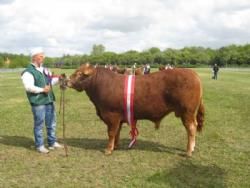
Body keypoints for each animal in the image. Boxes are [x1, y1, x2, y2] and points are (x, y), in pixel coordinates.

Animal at [67, 63, 205, 156]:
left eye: (79, 74)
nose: (66, 81)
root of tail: (193, 73)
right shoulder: (118, 118)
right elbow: (117, 132)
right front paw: (115, 146)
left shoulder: (111, 116)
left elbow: (111, 133)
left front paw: (108, 149)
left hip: (187, 112)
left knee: (191, 128)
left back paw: (188, 151)